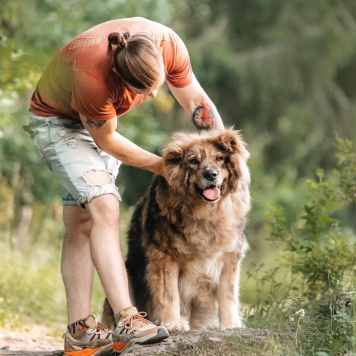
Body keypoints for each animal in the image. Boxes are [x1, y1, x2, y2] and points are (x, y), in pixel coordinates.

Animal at [101, 129, 252, 332]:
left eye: (219, 158)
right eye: (194, 161)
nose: (211, 175)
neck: (205, 213)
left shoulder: (229, 258)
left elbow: (228, 295)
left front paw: (230, 325)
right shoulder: (164, 256)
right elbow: (169, 294)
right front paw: (172, 323)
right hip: (126, 274)